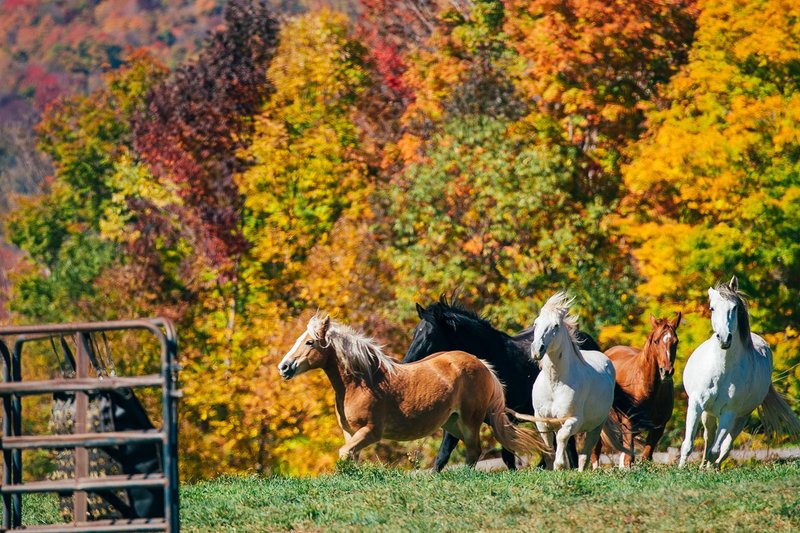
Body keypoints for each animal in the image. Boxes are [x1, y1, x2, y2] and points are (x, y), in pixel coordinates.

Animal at [277, 313, 549, 467]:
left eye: (309, 342)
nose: (284, 367)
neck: (363, 382)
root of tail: (481, 363)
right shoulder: (350, 433)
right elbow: (350, 455)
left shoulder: (371, 432)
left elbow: (344, 454)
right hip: (454, 423)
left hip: (472, 420)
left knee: (475, 451)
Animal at [403, 294, 602, 471]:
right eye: (414, 333)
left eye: (429, 334)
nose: (407, 362)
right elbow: (443, 455)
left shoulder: (506, 417)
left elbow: (508, 456)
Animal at [527, 292, 625, 471]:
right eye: (536, 323)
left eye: (556, 325)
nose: (537, 349)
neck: (554, 383)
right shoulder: (542, 421)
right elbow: (548, 448)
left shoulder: (573, 420)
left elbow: (561, 438)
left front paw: (560, 466)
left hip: (595, 427)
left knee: (585, 455)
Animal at [590, 313, 681, 468]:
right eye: (656, 341)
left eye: (675, 342)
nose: (667, 371)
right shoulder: (629, 424)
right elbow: (629, 458)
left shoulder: (658, 427)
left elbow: (645, 457)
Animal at [679, 276, 800, 468]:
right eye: (712, 308)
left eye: (734, 307)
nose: (724, 338)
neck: (721, 371)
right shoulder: (696, 404)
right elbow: (688, 444)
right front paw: (681, 469)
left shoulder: (729, 413)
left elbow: (716, 450)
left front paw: (710, 469)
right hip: (708, 413)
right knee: (708, 436)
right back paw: (703, 465)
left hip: (741, 417)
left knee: (725, 446)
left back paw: (711, 467)